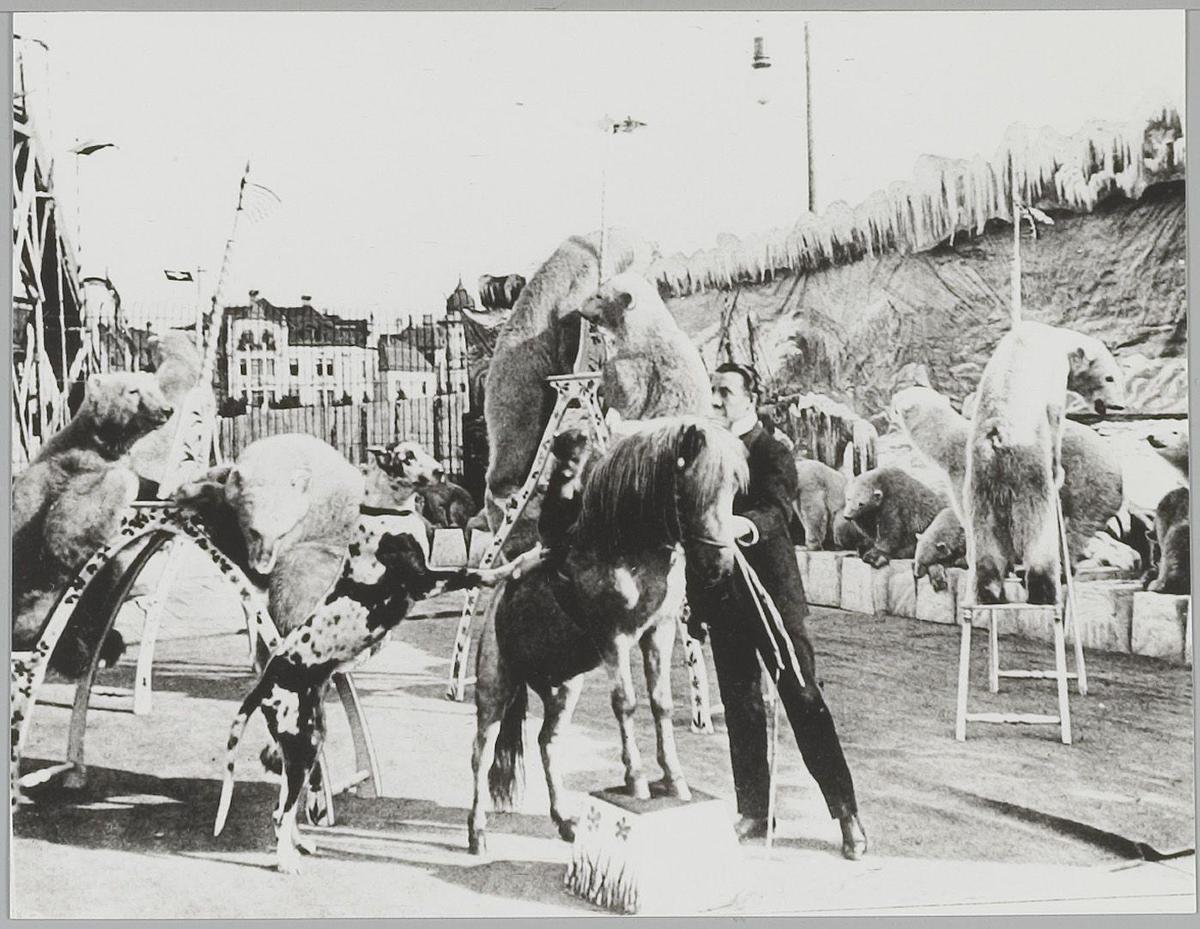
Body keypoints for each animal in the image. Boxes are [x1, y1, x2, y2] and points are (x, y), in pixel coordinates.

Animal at [467, 416, 749, 855]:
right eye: (689, 490)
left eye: (734, 489)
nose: (720, 567)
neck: (628, 549)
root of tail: (500, 598)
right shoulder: (615, 637)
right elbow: (627, 703)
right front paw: (636, 780)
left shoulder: (659, 632)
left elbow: (661, 703)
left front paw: (674, 779)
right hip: (496, 685)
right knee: (482, 750)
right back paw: (478, 831)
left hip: (564, 688)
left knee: (548, 742)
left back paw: (565, 821)